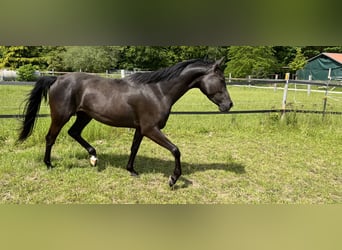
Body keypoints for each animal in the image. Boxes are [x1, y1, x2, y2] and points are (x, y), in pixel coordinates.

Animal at [18, 58, 232, 186]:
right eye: (221, 80)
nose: (229, 105)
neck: (158, 91)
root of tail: (56, 79)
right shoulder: (151, 129)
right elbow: (175, 150)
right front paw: (173, 179)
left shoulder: (140, 128)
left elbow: (134, 148)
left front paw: (132, 170)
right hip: (61, 116)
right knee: (50, 138)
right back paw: (49, 164)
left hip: (84, 115)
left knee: (74, 133)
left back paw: (94, 158)